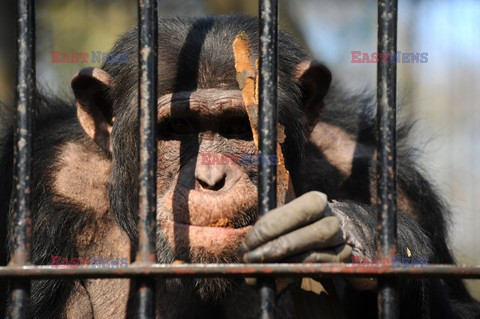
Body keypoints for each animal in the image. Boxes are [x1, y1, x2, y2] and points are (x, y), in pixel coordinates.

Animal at [0, 15, 478, 319]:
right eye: (177, 129)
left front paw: (361, 236)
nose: (210, 179)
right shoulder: (45, 176)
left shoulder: (387, 180)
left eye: (238, 128)